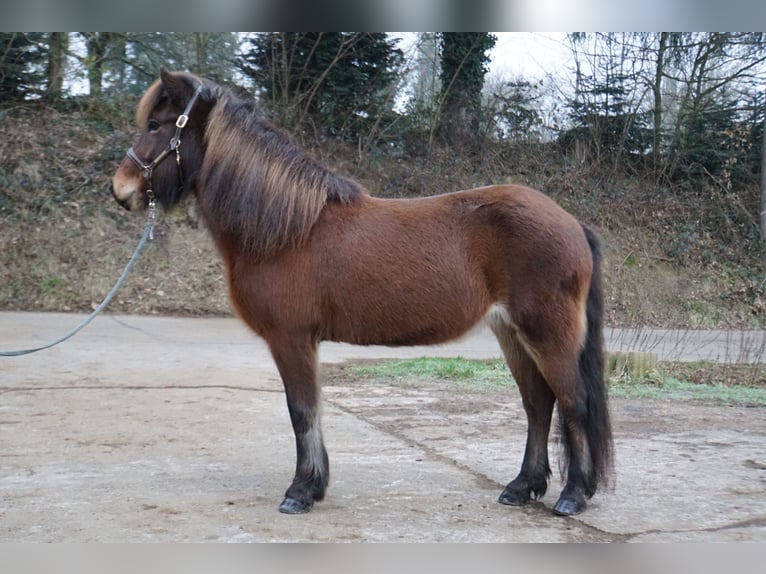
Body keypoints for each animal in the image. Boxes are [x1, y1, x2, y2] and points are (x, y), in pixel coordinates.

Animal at [111, 68, 613, 517]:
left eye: (156, 125)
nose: (121, 190)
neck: (288, 228)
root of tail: (573, 224)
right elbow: (309, 411)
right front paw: (314, 486)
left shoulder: (291, 338)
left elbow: (302, 411)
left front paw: (301, 491)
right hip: (511, 333)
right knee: (538, 404)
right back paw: (522, 487)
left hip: (547, 334)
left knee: (574, 403)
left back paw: (573, 496)